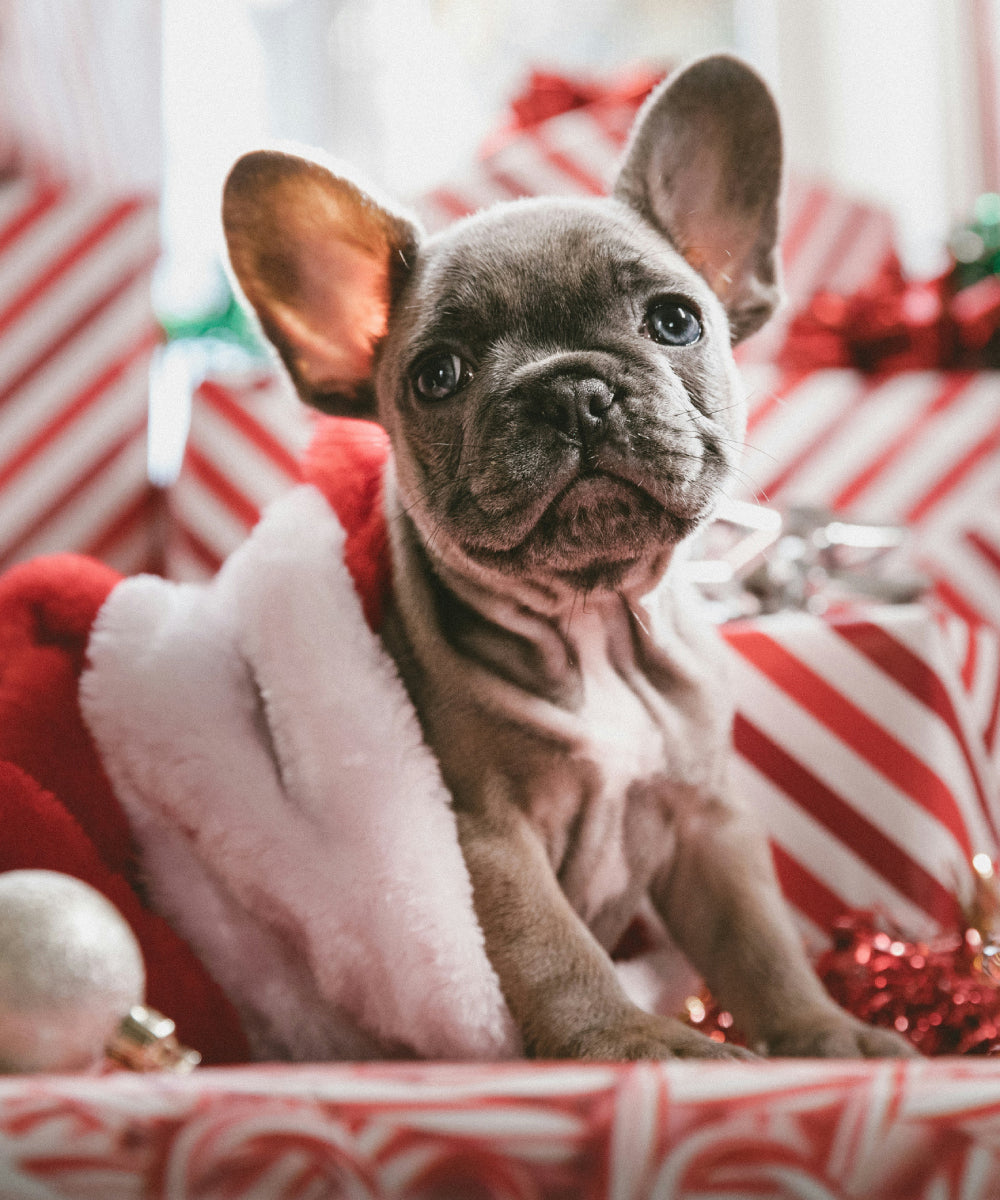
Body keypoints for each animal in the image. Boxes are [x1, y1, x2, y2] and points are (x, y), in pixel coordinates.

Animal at [220, 56, 912, 1060]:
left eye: (675, 322)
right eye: (437, 375)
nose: (571, 389)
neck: (593, 622)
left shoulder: (707, 821)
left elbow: (762, 941)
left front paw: (824, 1034)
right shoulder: (484, 837)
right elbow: (554, 949)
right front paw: (635, 1040)